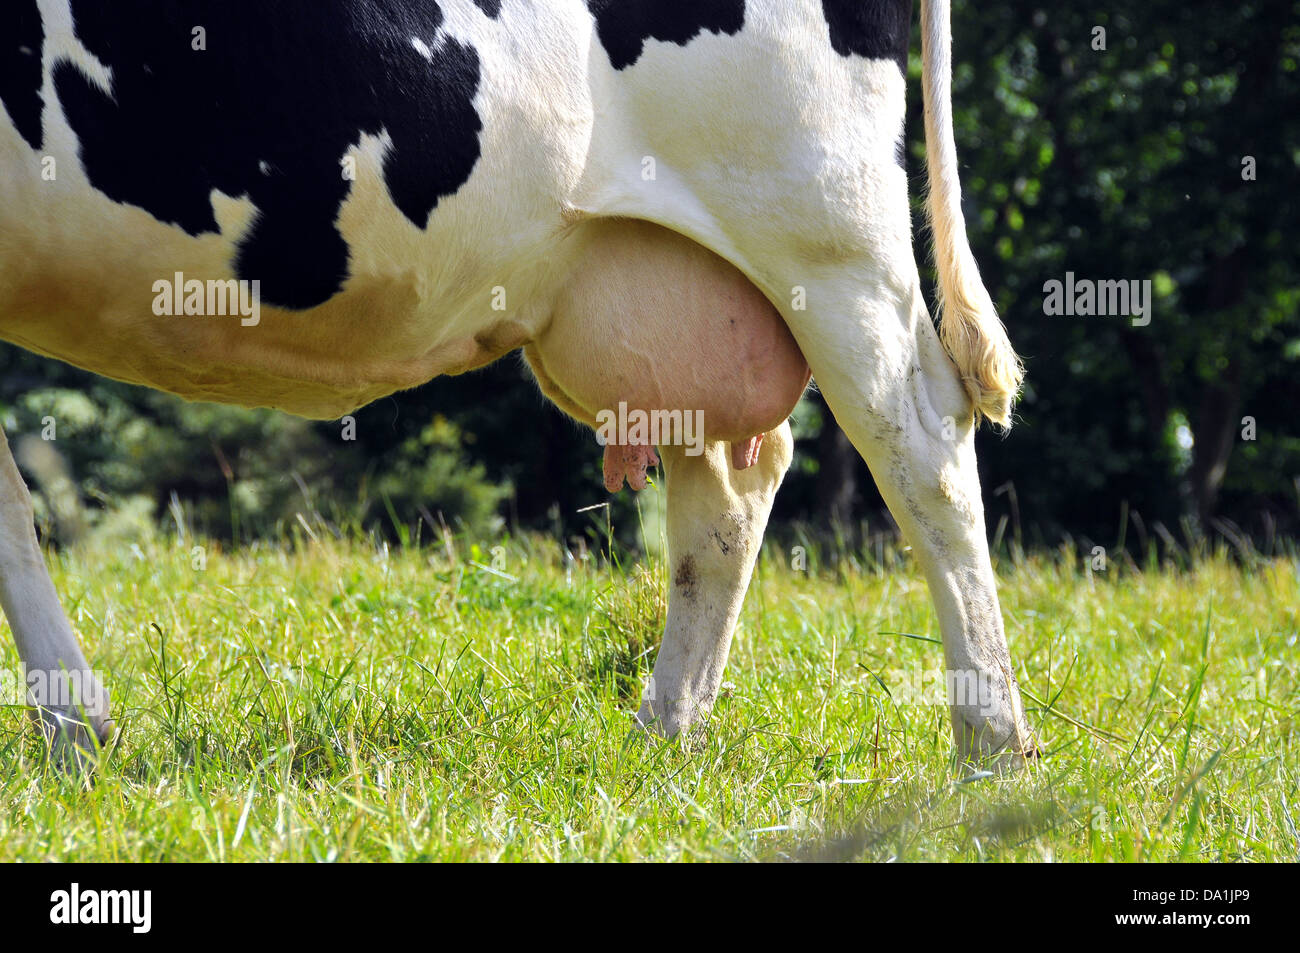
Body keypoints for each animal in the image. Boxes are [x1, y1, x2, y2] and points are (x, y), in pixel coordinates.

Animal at [0, 0, 1037, 770]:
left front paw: (75, 735)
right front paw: (74, 732)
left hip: (820, 222)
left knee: (918, 441)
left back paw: (990, 745)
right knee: (732, 487)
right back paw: (664, 735)